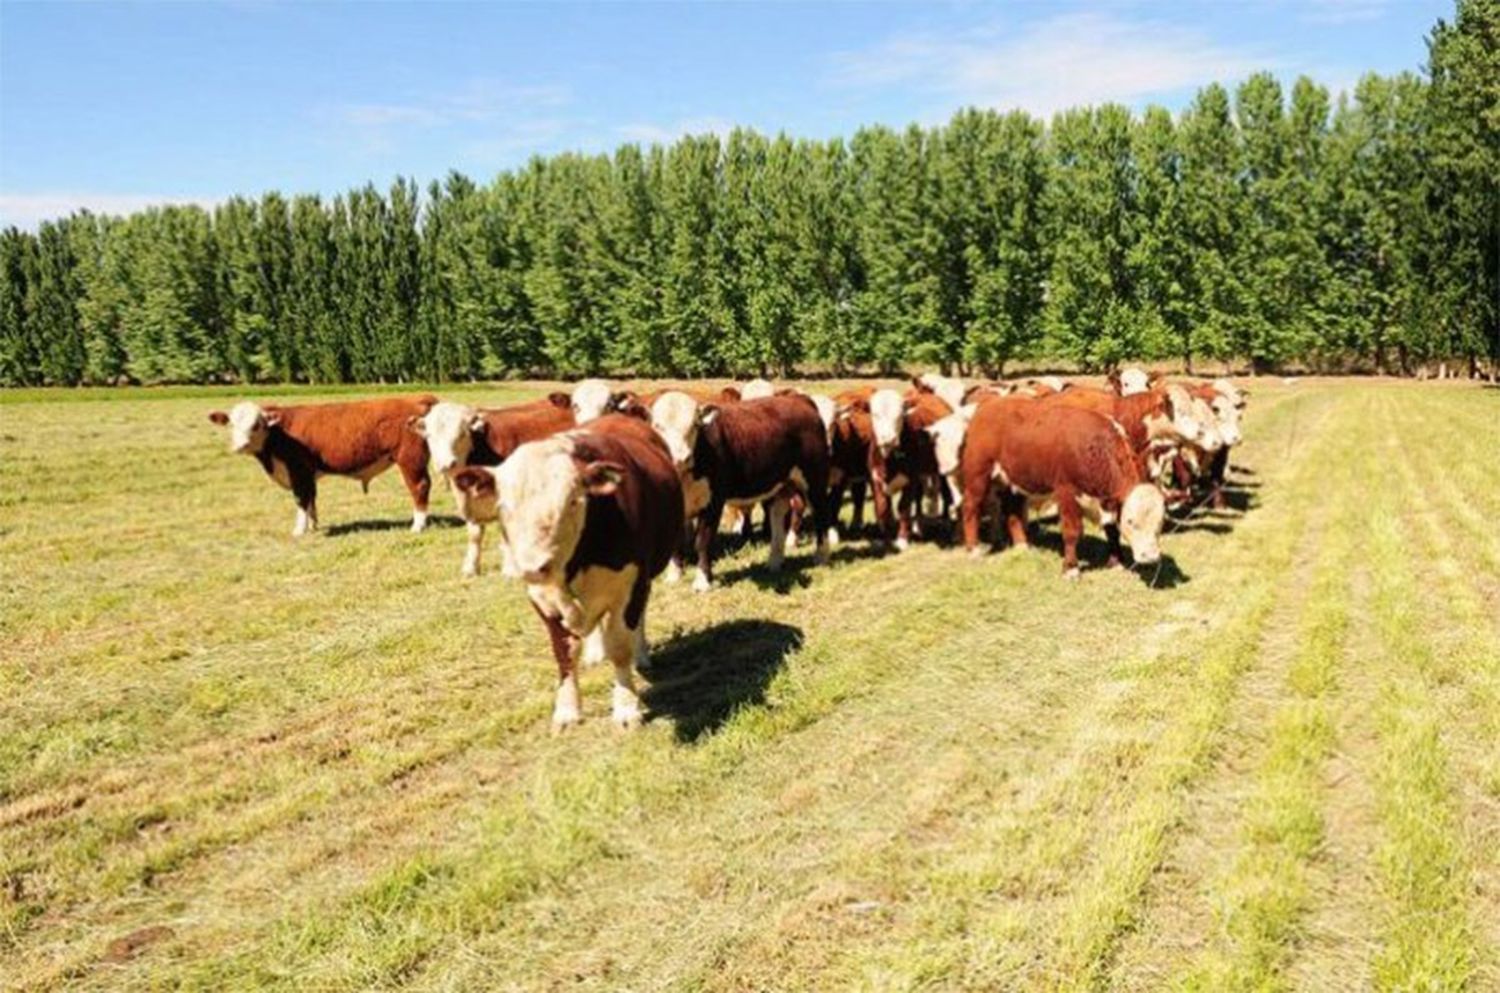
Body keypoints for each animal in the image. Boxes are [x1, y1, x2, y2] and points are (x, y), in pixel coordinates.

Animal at [204, 396, 435, 537]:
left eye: (256, 424)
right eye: (231, 424)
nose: (240, 445)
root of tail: (415, 399)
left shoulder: (297, 470)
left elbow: (301, 499)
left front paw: (299, 530)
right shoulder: (308, 474)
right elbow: (311, 499)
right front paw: (313, 525)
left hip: (410, 460)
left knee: (419, 487)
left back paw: (417, 525)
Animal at [414, 390, 576, 576]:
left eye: (462, 434)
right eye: (430, 436)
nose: (446, 463)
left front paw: (510, 570)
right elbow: (475, 535)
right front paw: (471, 568)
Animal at [444, 411, 681, 732]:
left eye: (573, 502)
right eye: (504, 507)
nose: (533, 566)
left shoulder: (630, 585)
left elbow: (620, 646)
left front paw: (626, 707)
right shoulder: (542, 598)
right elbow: (564, 652)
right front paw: (567, 710)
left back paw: (640, 653)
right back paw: (595, 652)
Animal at [960, 399, 1170, 579]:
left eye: (1160, 522)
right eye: (1130, 521)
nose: (1150, 556)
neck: (1094, 447)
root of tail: (987, 406)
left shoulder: (1108, 502)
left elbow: (1112, 530)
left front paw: (1116, 562)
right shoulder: (1066, 493)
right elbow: (1071, 532)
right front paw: (1071, 569)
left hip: (1012, 481)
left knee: (1012, 510)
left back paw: (1021, 545)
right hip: (977, 475)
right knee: (971, 507)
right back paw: (973, 550)